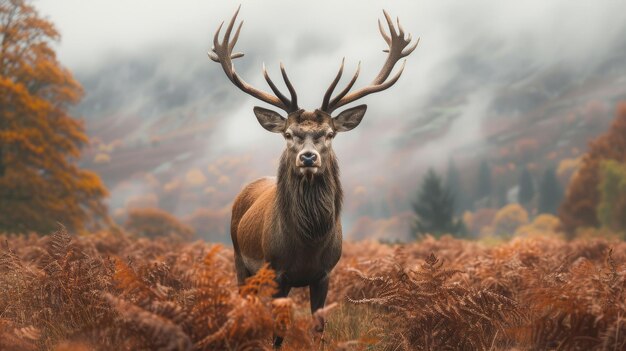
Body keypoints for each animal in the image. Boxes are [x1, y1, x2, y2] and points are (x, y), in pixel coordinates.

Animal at [207, 6, 416, 350]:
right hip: (240, 261)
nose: (308, 157)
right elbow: (279, 331)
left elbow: (319, 327)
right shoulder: (277, 272)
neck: (307, 243)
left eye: (329, 134)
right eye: (289, 134)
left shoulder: (324, 274)